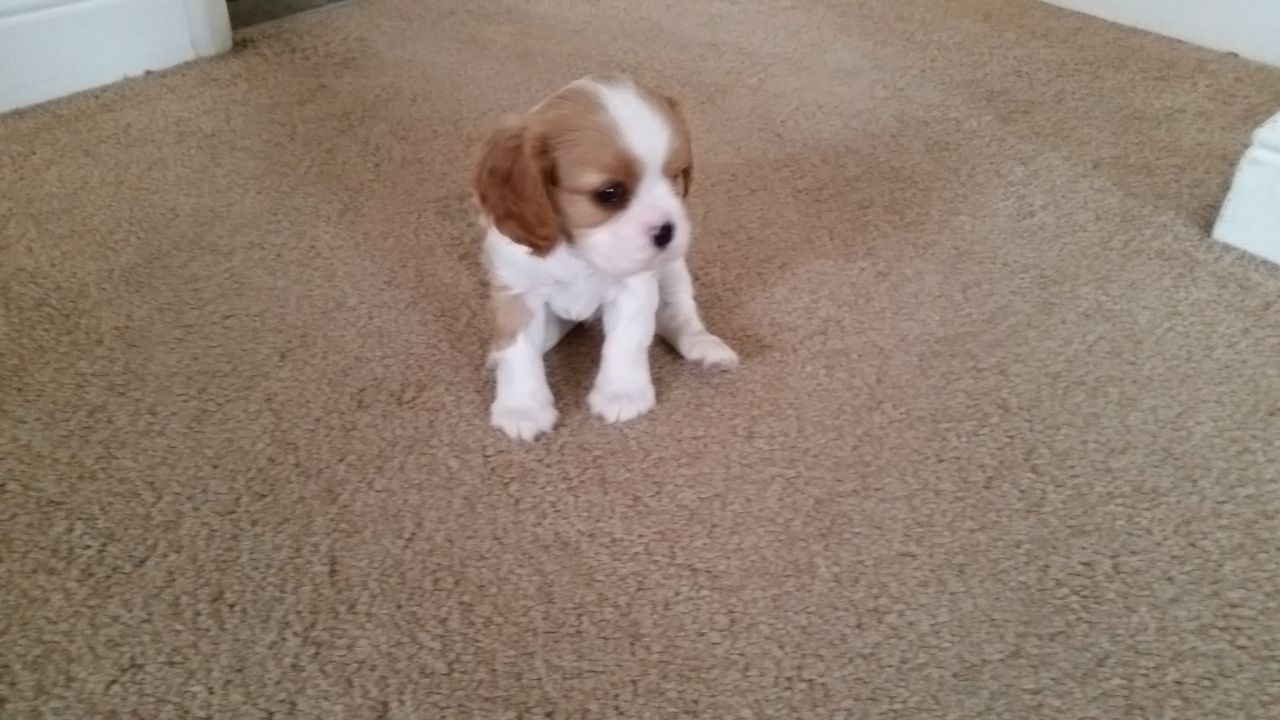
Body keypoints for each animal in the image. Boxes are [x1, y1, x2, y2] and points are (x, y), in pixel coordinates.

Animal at [471, 73, 737, 438]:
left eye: (675, 178)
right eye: (609, 194)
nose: (667, 231)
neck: (576, 252)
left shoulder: (635, 288)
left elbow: (626, 342)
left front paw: (622, 393)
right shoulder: (516, 292)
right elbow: (519, 351)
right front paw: (522, 408)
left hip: (672, 271)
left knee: (676, 315)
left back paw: (703, 344)